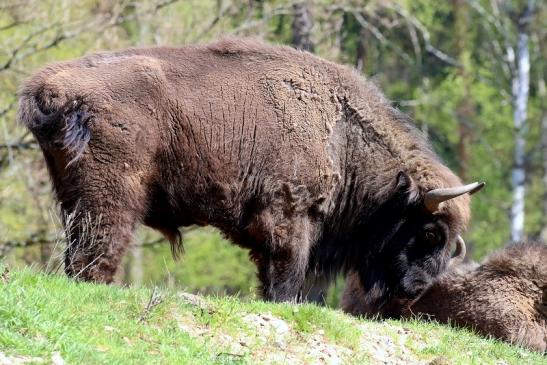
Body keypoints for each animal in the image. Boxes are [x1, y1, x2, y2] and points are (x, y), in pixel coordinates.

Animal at [17, 37, 482, 306]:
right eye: (430, 233)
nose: (417, 290)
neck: (341, 133)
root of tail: (48, 88)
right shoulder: (290, 216)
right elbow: (286, 276)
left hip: (71, 193)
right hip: (111, 197)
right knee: (96, 252)